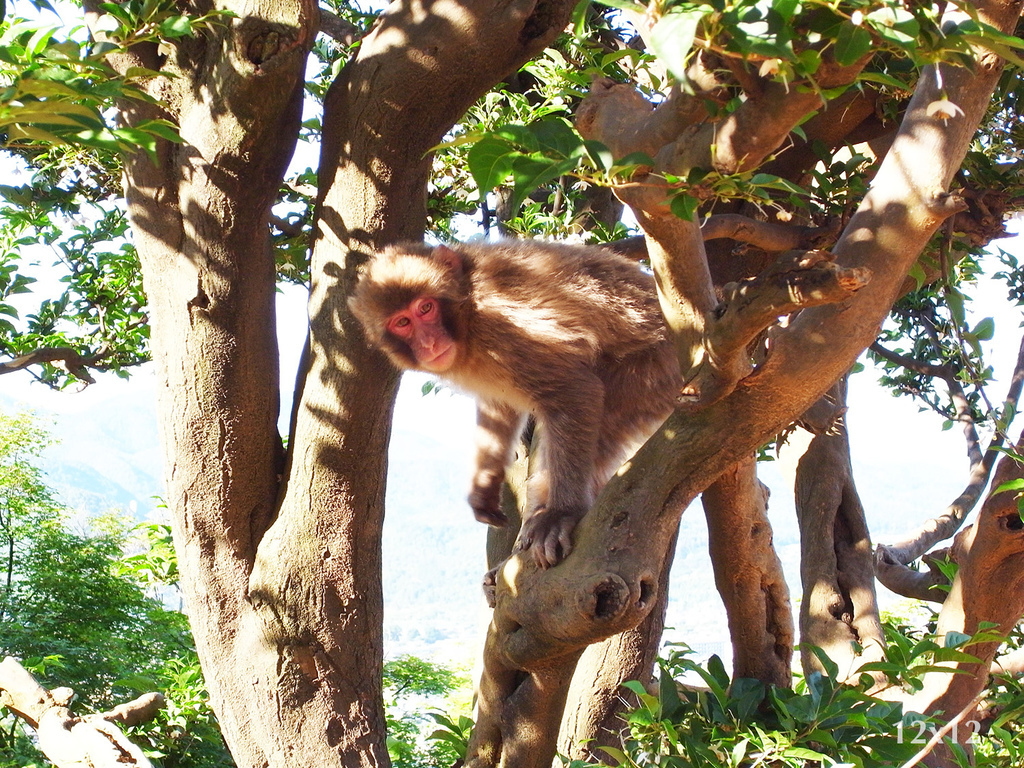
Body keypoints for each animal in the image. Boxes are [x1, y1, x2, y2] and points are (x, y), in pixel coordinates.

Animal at [350, 241, 679, 573]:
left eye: (425, 308)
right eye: (402, 322)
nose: (429, 343)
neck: (468, 309)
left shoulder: (504, 327)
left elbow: (575, 390)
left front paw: (563, 513)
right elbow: (499, 408)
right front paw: (484, 486)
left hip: (655, 372)